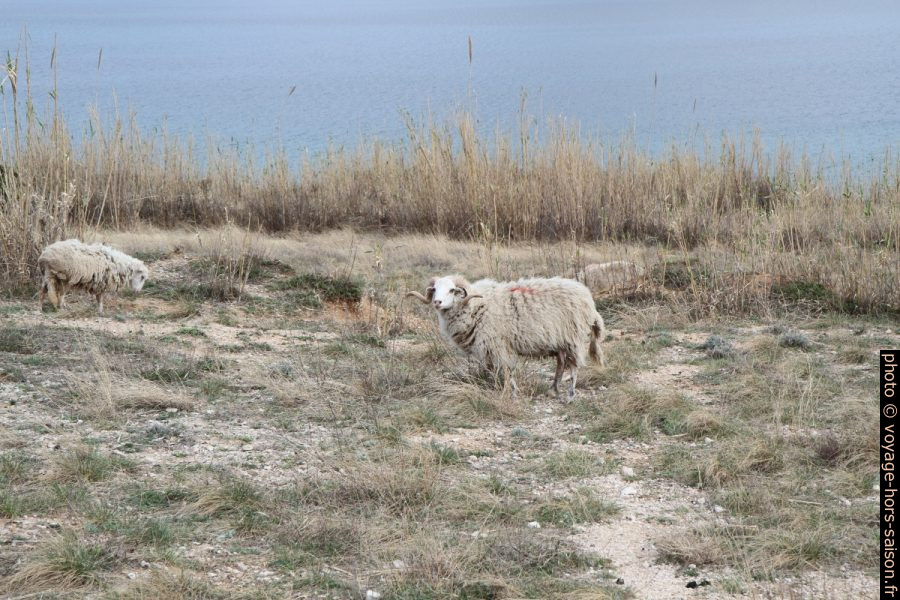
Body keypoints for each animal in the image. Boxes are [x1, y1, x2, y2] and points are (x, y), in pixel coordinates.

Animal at [407, 275, 605, 400]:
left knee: (573, 366)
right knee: (561, 363)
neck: (475, 305)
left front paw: (510, 392)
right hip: (559, 340)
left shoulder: (499, 345)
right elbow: (494, 371)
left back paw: (570, 394)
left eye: (451, 290)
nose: (437, 302)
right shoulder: (490, 349)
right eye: (434, 289)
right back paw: (553, 390)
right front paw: (502, 389)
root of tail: (589, 299)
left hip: (572, 337)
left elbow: (505, 370)